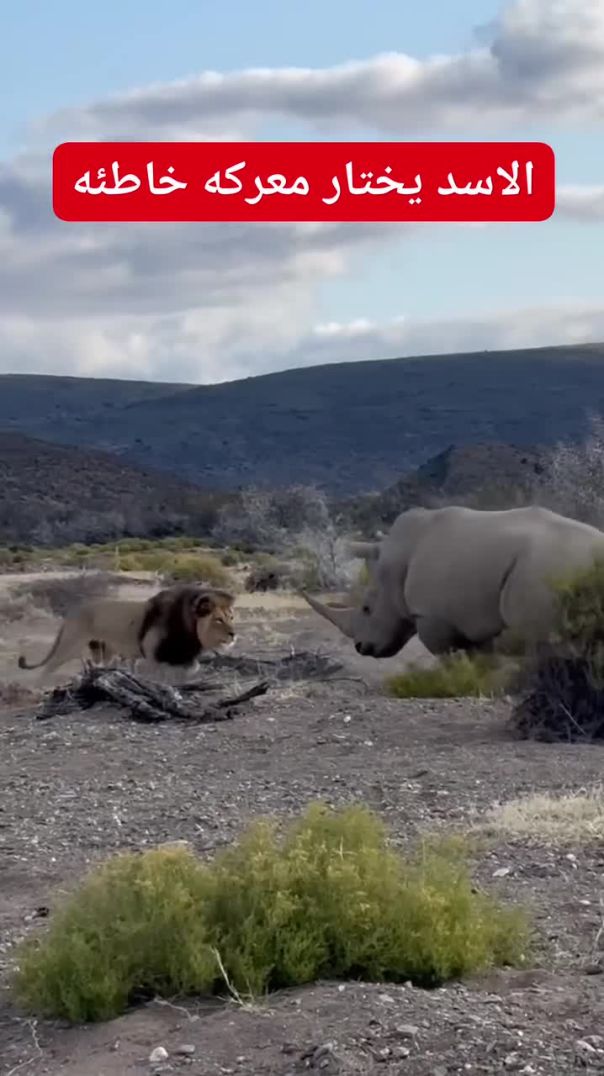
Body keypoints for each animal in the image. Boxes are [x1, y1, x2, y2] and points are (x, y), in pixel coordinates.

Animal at [18, 581, 235, 680]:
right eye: (218, 620)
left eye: (231, 617)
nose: (233, 634)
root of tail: (73, 612)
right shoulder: (151, 657)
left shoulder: (183, 658)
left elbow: (192, 669)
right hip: (70, 645)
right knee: (47, 669)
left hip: (101, 651)